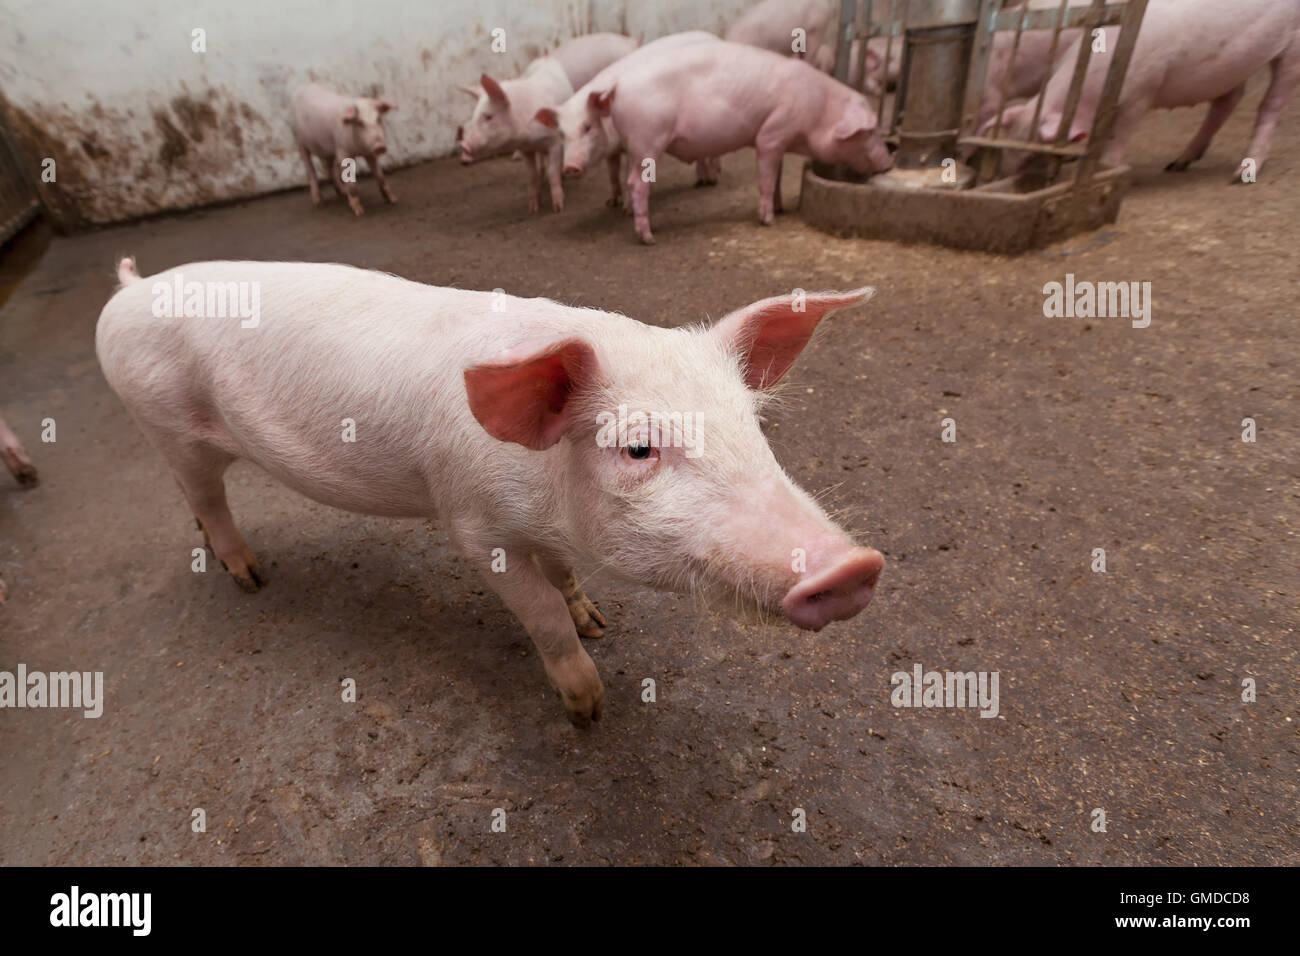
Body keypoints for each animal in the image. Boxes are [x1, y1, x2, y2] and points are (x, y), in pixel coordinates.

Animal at [96, 257, 889, 728]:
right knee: (206, 496)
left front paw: (598, 620)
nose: (853, 566)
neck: (542, 497)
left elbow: (563, 579)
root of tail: (129, 290)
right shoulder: (471, 523)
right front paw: (588, 709)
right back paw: (250, 578)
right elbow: (538, 612)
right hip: (161, 421)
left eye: (754, 426)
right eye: (637, 447)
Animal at [289, 82, 395, 217]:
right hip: (298, 140)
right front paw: (359, 212)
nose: (380, 146)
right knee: (310, 169)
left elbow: (380, 176)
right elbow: (352, 184)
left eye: (378, 119)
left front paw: (393, 199)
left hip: (329, 150)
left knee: (329, 168)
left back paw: (342, 193)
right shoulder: (343, 152)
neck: (358, 150)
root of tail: (303, 89)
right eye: (360, 122)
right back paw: (319, 203)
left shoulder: (369, 153)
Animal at [457, 34, 639, 214]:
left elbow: (553, 172)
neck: (527, 134)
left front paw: (558, 208)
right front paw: (533, 209)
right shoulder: (526, 149)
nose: (464, 146)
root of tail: (630, 41)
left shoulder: (555, 142)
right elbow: (531, 175)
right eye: (473, 117)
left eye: (488, 116)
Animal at [533, 31, 728, 209]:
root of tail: (714, 37)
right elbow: (612, 173)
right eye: (561, 134)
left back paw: (712, 179)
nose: (569, 167)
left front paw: (627, 209)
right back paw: (700, 181)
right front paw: (611, 202)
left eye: (587, 127)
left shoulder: (633, 143)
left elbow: (628, 173)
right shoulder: (612, 151)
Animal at [548, 40, 894, 243]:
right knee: (637, 183)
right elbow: (766, 177)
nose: (890, 160)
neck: (818, 111)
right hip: (648, 139)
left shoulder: (779, 140)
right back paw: (648, 236)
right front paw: (768, 220)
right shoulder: (771, 133)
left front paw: (781, 208)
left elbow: (777, 175)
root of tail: (619, 85)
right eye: (872, 131)